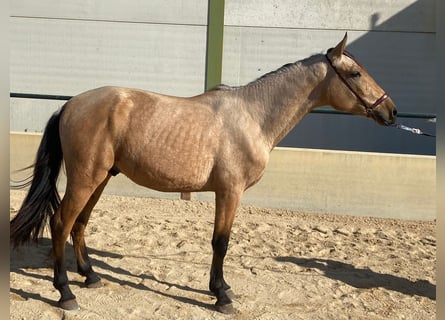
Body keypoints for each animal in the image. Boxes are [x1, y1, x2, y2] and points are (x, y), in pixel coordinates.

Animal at [9, 33, 396, 314]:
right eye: (356, 73)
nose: (391, 111)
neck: (253, 115)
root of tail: (70, 105)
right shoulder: (229, 191)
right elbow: (220, 242)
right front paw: (221, 295)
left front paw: (221, 289)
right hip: (86, 178)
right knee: (61, 222)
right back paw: (65, 293)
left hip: (100, 179)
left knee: (79, 223)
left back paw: (90, 276)